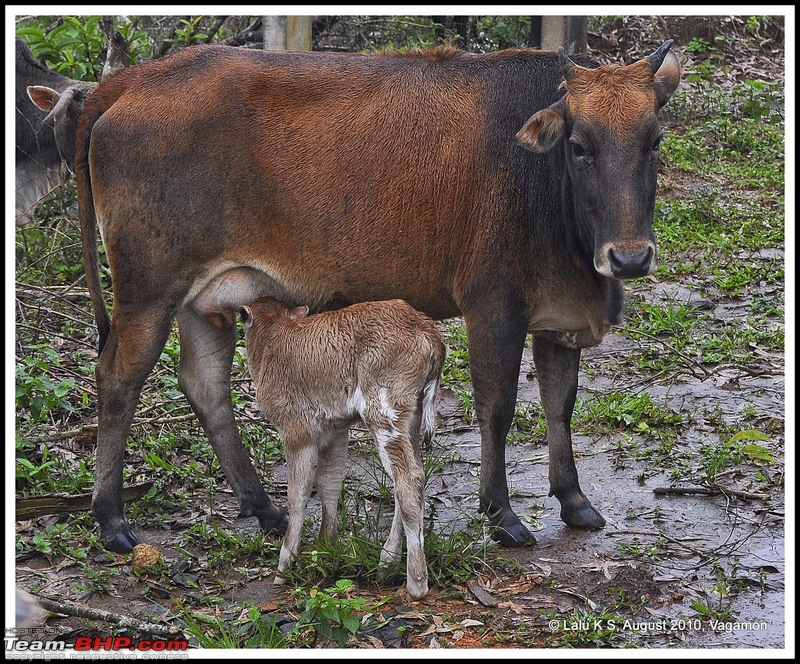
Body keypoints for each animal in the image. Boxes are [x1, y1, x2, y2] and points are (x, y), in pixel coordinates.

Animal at [75, 40, 680, 548]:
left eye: (654, 142)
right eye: (579, 146)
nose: (629, 257)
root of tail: (135, 80)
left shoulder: (557, 319)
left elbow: (560, 404)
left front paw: (573, 500)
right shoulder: (493, 305)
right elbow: (497, 406)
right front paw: (501, 513)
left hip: (207, 300)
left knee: (205, 387)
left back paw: (266, 509)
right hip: (148, 293)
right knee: (118, 379)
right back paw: (109, 518)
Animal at [241, 298, 446, 600]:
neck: (272, 340)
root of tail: (429, 332)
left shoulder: (296, 429)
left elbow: (298, 493)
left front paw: (284, 567)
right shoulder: (334, 429)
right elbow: (329, 482)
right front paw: (327, 546)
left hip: (383, 409)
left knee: (408, 479)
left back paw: (416, 582)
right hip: (411, 414)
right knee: (414, 474)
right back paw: (386, 562)